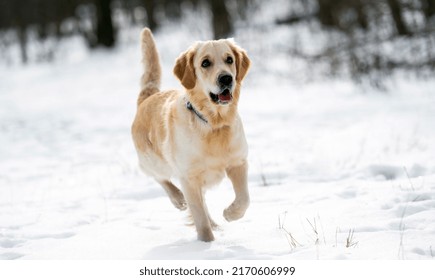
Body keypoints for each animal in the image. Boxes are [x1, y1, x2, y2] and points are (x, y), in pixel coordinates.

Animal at [131, 29, 250, 243]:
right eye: (205, 63)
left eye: (229, 59)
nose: (226, 79)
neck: (212, 124)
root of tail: (148, 96)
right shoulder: (189, 177)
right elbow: (200, 218)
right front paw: (206, 244)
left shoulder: (238, 162)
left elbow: (244, 198)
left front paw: (230, 213)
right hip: (154, 161)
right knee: (158, 177)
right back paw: (178, 198)